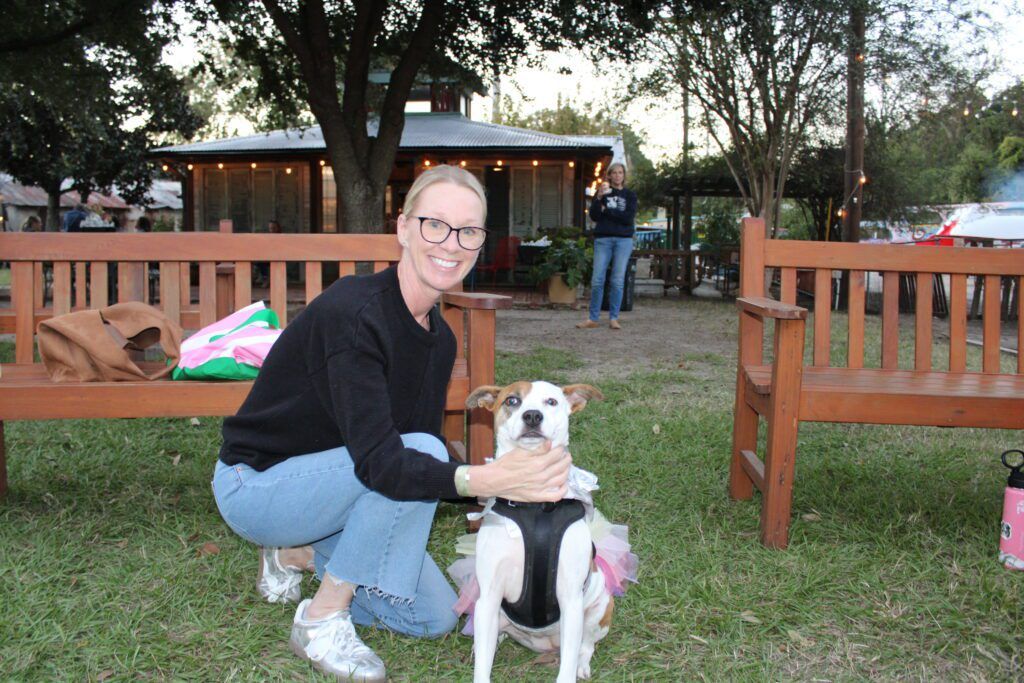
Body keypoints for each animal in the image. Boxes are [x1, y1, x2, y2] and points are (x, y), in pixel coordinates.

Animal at [464, 381, 615, 683]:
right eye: (511, 400)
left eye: (551, 402)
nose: (532, 416)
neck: (534, 504)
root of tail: (542, 644)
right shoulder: (490, 595)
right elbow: (483, 666)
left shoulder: (570, 599)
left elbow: (567, 664)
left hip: (601, 606)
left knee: (586, 645)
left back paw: (582, 664)